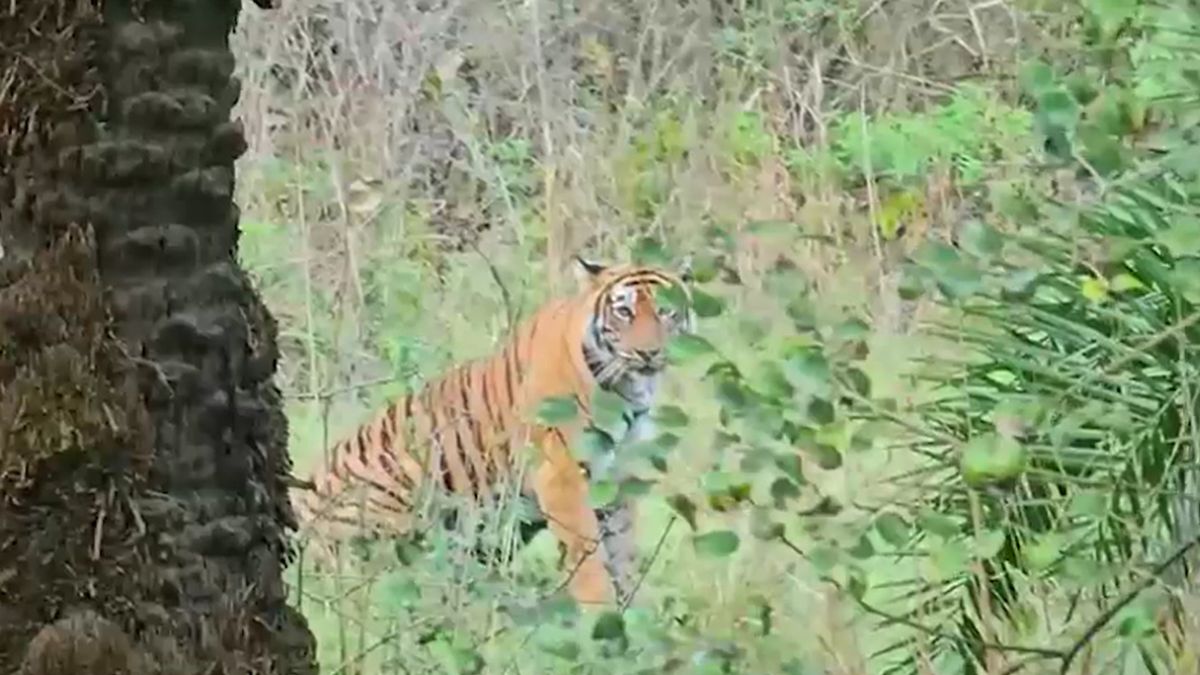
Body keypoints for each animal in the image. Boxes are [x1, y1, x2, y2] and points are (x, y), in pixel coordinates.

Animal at [290, 256, 694, 606]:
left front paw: (636, 618)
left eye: (666, 311)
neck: (627, 388)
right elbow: (588, 558)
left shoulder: (619, 477)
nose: (648, 353)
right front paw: (602, 618)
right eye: (624, 312)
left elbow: (623, 555)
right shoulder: (561, 475)